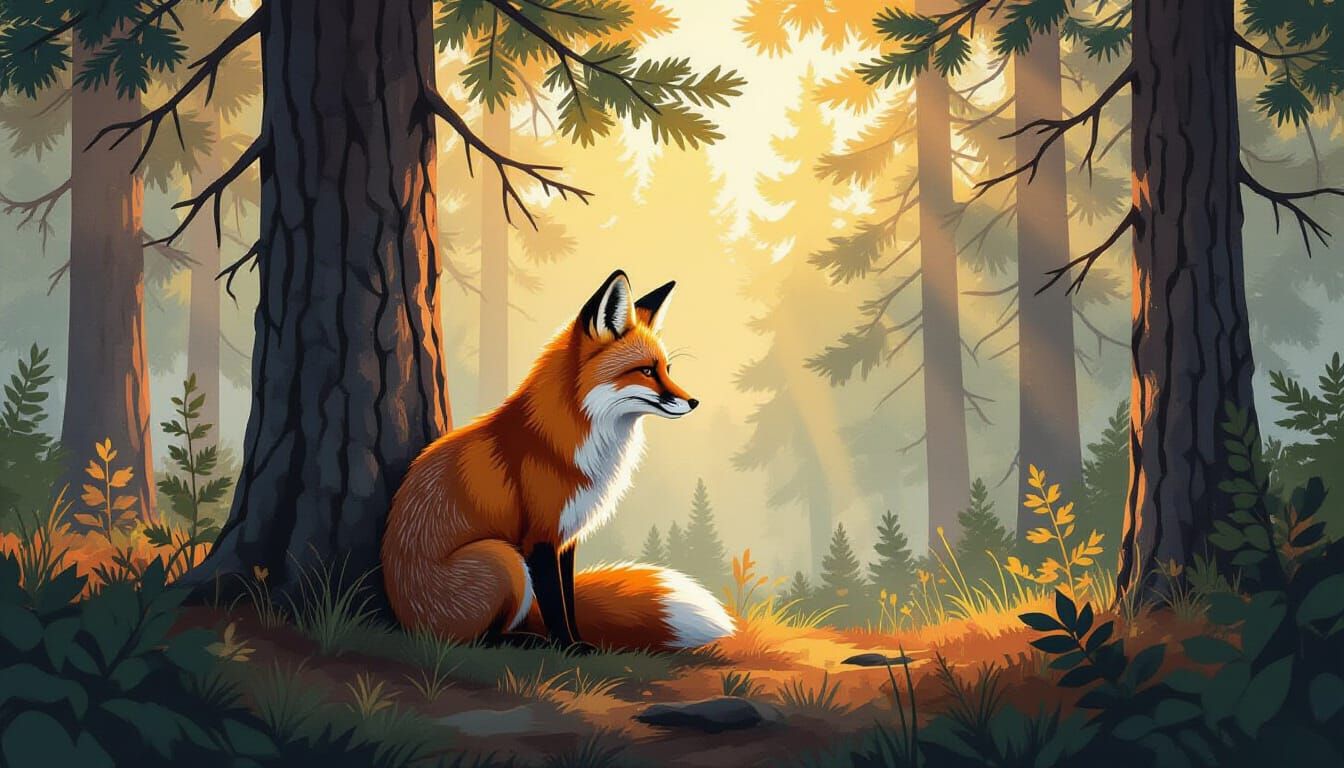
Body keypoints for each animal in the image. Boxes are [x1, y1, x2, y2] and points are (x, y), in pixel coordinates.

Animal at [382, 270, 735, 652]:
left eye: (667, 369)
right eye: (646, 371)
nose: (694, 401)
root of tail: (408, 621)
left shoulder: (566, 535)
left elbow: (568, 600)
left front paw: (579, 640)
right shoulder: (540, 537)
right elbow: (554, 605)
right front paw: (570, 648)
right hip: (502, 558)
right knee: (475, 640)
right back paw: (524, 641)